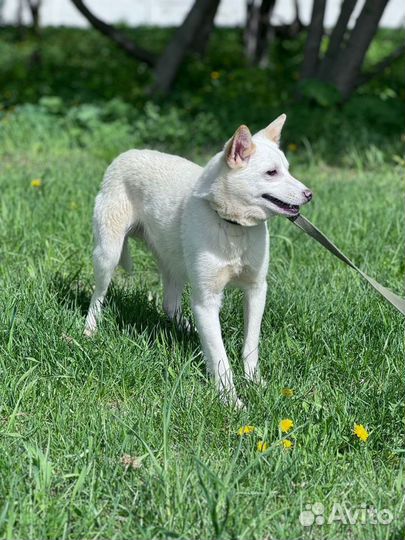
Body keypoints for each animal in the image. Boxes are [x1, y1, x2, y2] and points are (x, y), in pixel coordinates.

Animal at [84, 116, 312, 408]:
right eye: (271, 173)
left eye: (287, 170)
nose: (309, 194)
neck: (232, 225)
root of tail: (126, 154)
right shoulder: (207, 299)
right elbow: (220, 357)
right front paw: (231, 401)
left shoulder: (257, 289)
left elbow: (251, 344)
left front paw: (255, 382)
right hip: (108, 254)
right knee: (98, 295)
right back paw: (89, 330)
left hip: (175, 263)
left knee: (170, 304)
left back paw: (190, 330)